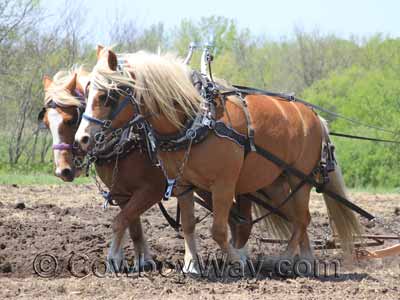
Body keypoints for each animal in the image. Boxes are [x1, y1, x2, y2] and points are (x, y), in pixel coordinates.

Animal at [76, 46, 362, 268]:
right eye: (86, 93)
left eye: (107, 95)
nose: (82, 138)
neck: (196, 120)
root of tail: (314, 117)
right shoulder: (182, 184)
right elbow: (187, 225)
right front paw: (192, 265)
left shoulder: (223, 185)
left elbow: (218, 230)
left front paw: (236, 261)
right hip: (275, 181)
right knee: (297, 219)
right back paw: (304, 260)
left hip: (298, 178)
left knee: (301, 219)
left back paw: (281, 259)